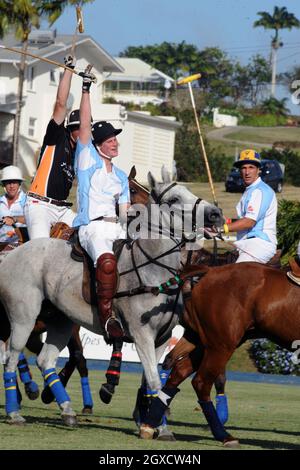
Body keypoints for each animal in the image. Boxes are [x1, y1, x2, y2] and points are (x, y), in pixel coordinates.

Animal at [0, 169, 223, 426]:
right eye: (174, 199)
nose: (216, 214)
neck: (153, 267)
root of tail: (10, 254)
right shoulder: (142, 334)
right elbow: (154, 380)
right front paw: (155, 425)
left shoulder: (163, 337)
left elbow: (150, 381)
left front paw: (150, 420)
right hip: (23, 318)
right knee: (11, 357)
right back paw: (15, 411)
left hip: (61, 321)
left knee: (46, 359)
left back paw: (66, 410)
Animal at [141, 262, 300, 446]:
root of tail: (211, 271)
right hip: (221, 344)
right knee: (200, 382)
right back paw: (223, 435)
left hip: (204, 341)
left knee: (178, 371)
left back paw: (149, 424)